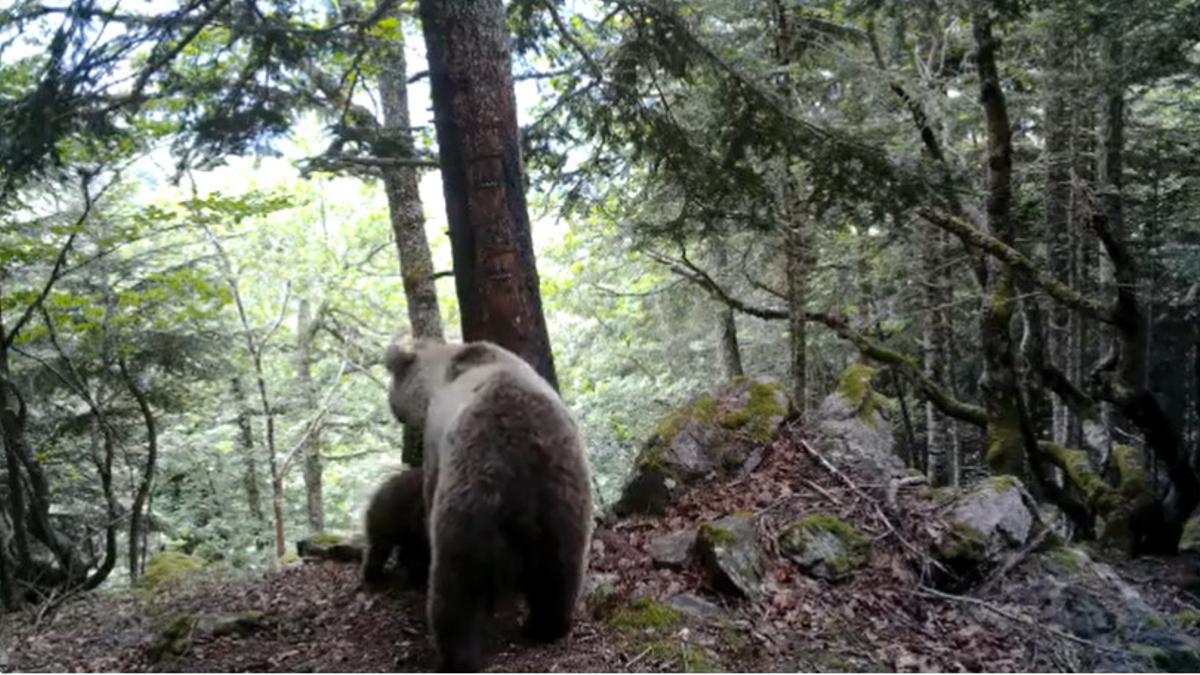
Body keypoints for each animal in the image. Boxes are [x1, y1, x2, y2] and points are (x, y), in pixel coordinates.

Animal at [384, 338, 590, 667]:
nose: (392, 406)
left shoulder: (436, 448)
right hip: (564, 487)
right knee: (561, 568)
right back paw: (546, 625)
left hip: (471, 492)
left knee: (456, 583)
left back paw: (456, 654)